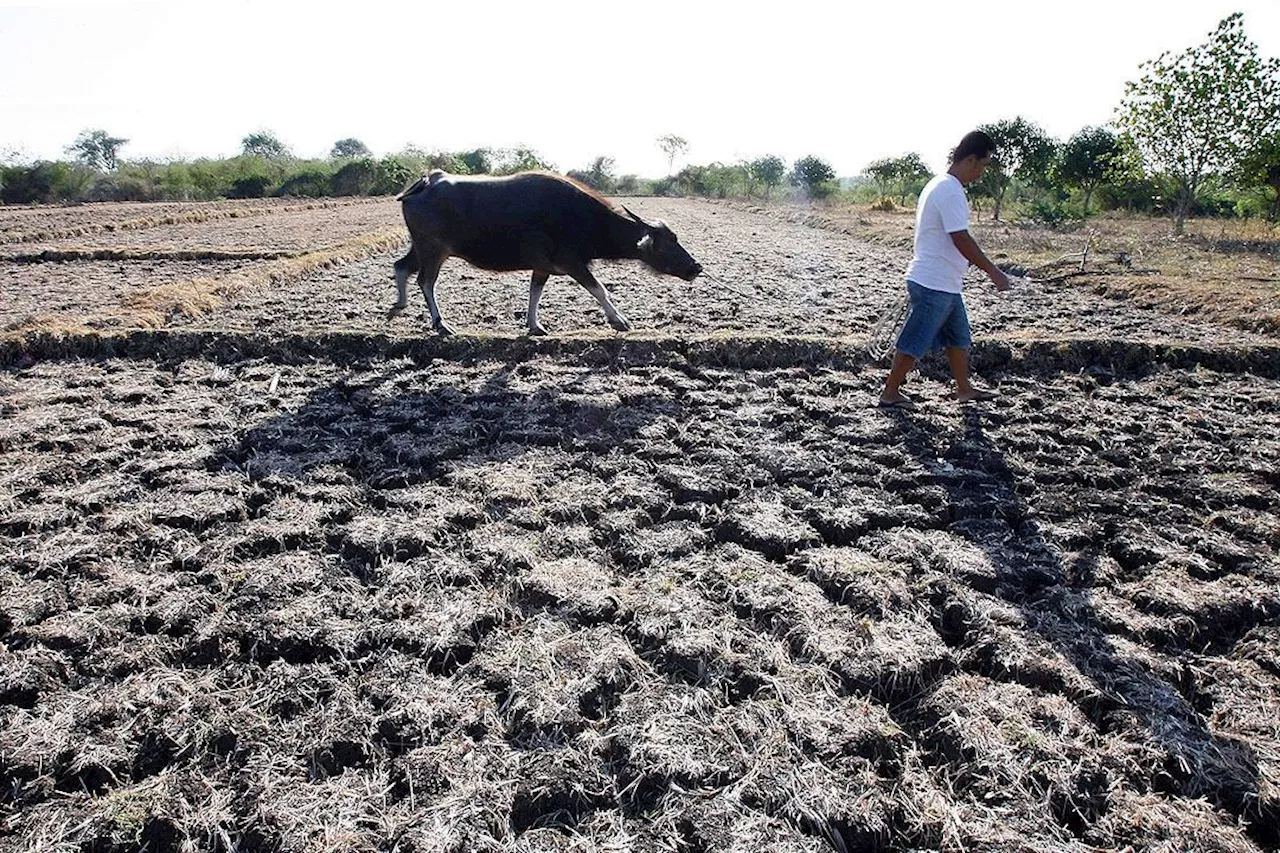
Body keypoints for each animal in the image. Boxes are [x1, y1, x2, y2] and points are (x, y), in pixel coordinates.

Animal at [394, 169, 706, 333]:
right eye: (667, 243)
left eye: (676, 237)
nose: (695, 267)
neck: (586, 219)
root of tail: (426, 182)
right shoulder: (571, 262)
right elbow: (600, 289)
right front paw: (619, 320)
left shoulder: (542, 267)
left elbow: (535, 293)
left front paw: (534, 325)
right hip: (433, 250)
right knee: (425, 281)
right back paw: (440, 324)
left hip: (421, 247)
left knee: (401, 266)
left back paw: (399, 304)